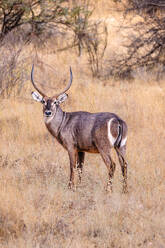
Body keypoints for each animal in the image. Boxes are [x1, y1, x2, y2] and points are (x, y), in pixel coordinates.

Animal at [31, 65, 129, 193]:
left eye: (55, 102)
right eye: (43, 101)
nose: (48, 112)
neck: (64, 121)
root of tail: (117, 120)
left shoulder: (71, 147)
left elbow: (72, 166)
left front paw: (70, 187)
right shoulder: (81, 150)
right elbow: (80, 168)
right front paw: (79, 186)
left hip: (104, 148)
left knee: (112, 165)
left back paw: (108, 190)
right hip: (121, 147)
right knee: (124, 165)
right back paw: (125, 190)